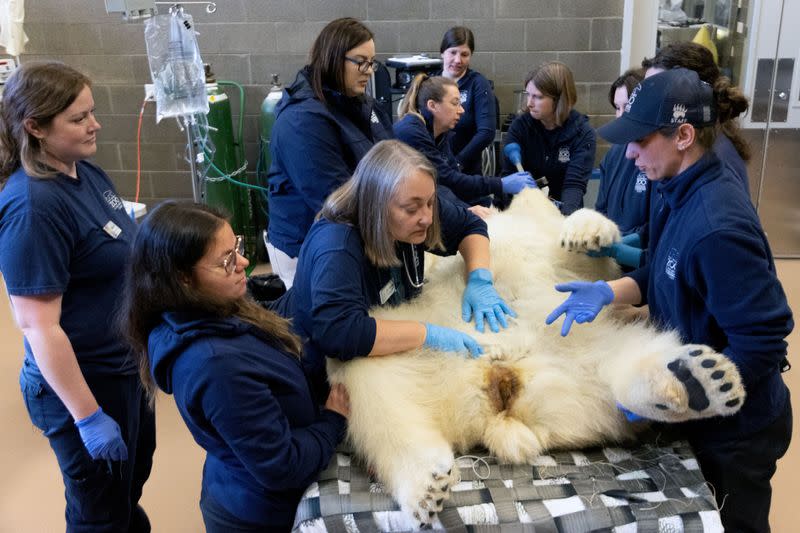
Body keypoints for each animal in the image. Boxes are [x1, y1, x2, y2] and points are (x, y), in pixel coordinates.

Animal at [324, 188, 744, 528]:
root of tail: (496, 395)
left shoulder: (553, 260)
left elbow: (591, 270)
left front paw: (586, 233)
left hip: (577, 350)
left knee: (623, 360)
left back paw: (699, 380)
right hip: (403, 346)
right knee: (372, 392)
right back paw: (425, 485)